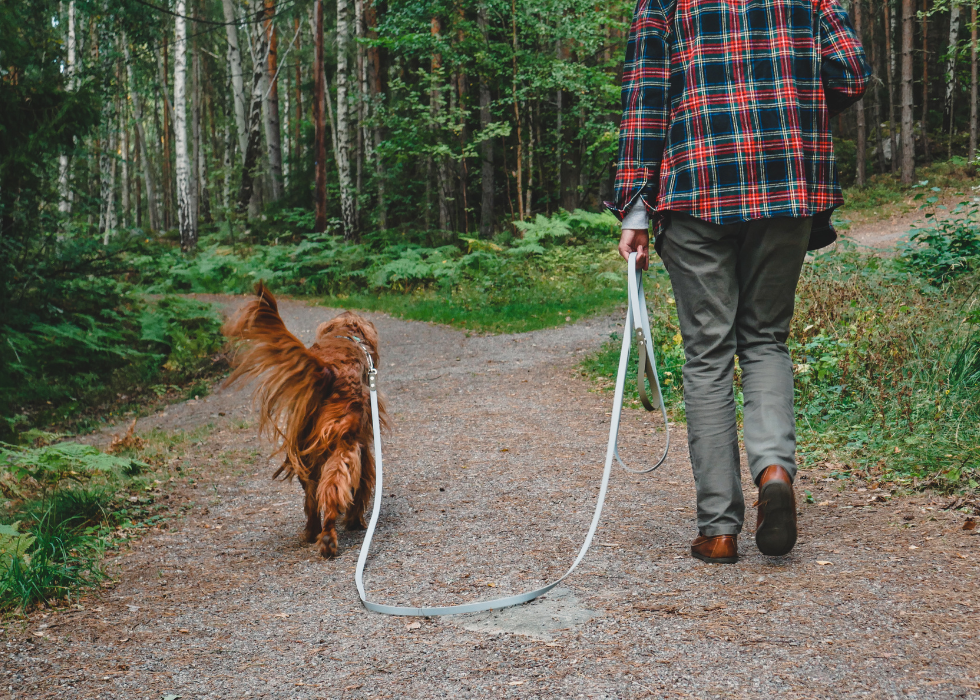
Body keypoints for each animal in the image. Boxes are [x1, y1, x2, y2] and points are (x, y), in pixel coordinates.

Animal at [224, 284, 388, 556]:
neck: (345, 336)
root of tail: (328, 371)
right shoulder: (363, 444)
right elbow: (362, 483)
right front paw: (355, 520)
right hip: (345, 444)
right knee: (333, 487)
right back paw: (330, 537)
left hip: (305, 449)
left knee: (312, 497)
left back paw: (313, 533)